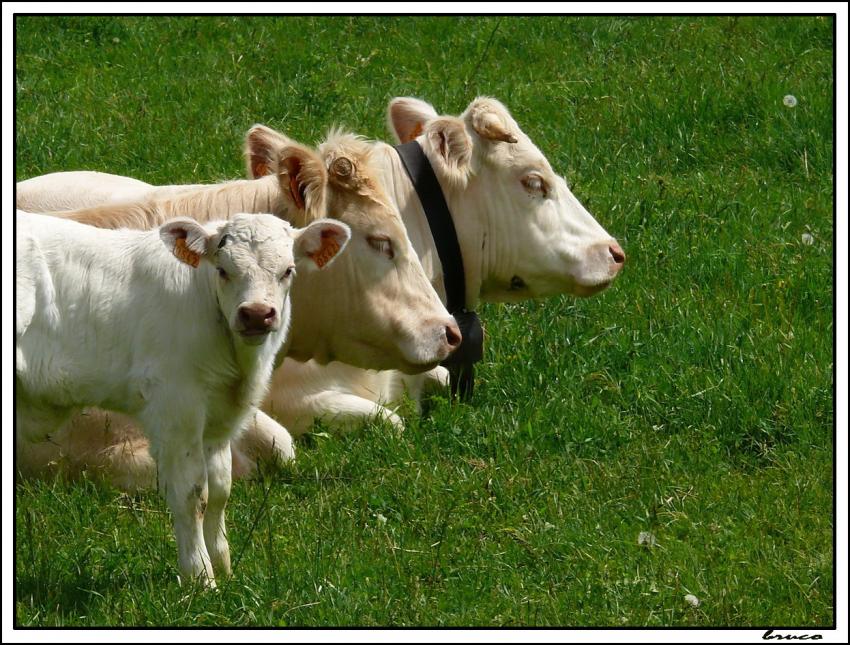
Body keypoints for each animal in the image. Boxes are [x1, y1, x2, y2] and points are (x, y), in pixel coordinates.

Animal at [16, 210, 349, 586]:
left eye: (288, 270)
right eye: (223, 269)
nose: (256, 314)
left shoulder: (219, 422)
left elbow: (220, 489)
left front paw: (224, 567)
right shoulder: (177, 407)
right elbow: (192, 494)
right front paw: (200, 577)